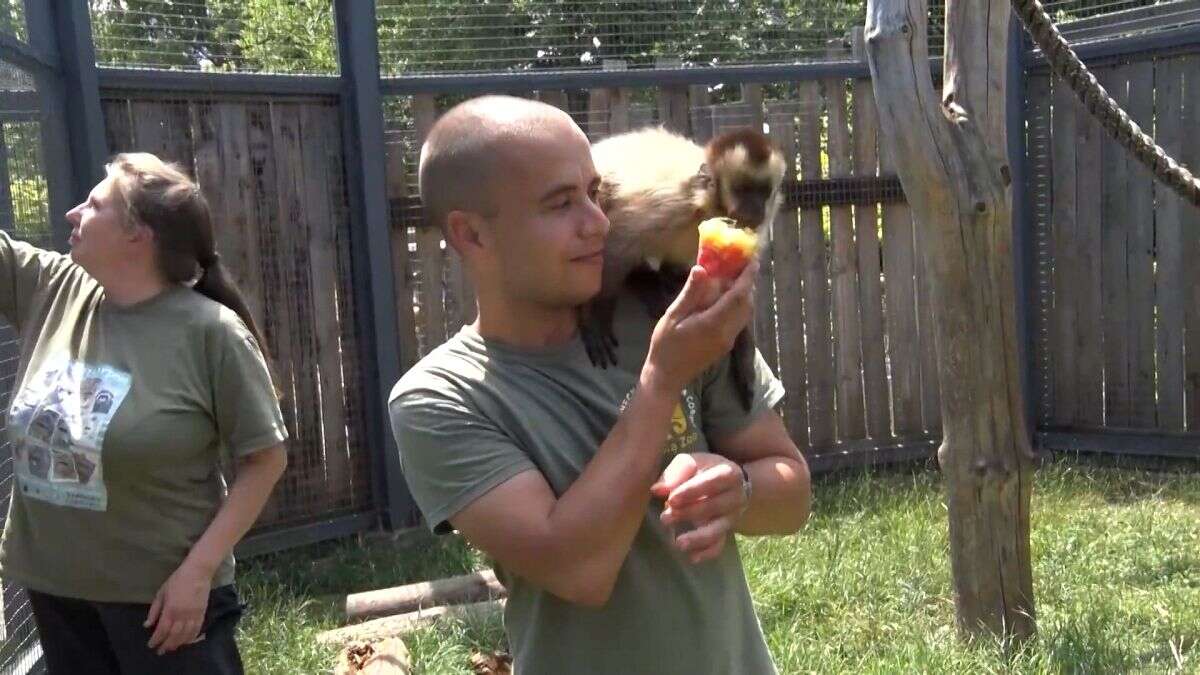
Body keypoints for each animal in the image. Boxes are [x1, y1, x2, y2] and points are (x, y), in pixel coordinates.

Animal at [580, 124, 787, 413]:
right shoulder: (672, 205)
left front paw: (745, 359)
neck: (710, 208)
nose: (755, 208)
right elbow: (618, 241)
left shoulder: (754, 231)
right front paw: (594, 314)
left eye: (763, 192)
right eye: (743, 189)